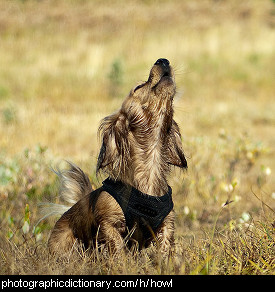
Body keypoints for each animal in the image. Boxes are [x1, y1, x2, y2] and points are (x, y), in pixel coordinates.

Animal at [48, 58, 189, 256]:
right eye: (139, 87)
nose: (163, 60)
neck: (149, 167)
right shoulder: (109, 224)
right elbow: (117, 250)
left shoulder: (166, 225)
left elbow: (164, 250)